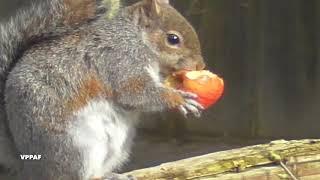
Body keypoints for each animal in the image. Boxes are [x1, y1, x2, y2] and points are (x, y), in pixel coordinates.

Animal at [0, 0, 205, 179]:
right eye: (173, 39)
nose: (200, 66)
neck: (136, 38)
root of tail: (28, 166)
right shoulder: (121, 60)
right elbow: (135, 94)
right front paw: (179, 99)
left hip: (117, 148)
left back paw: (112, 175)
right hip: (74, 146)